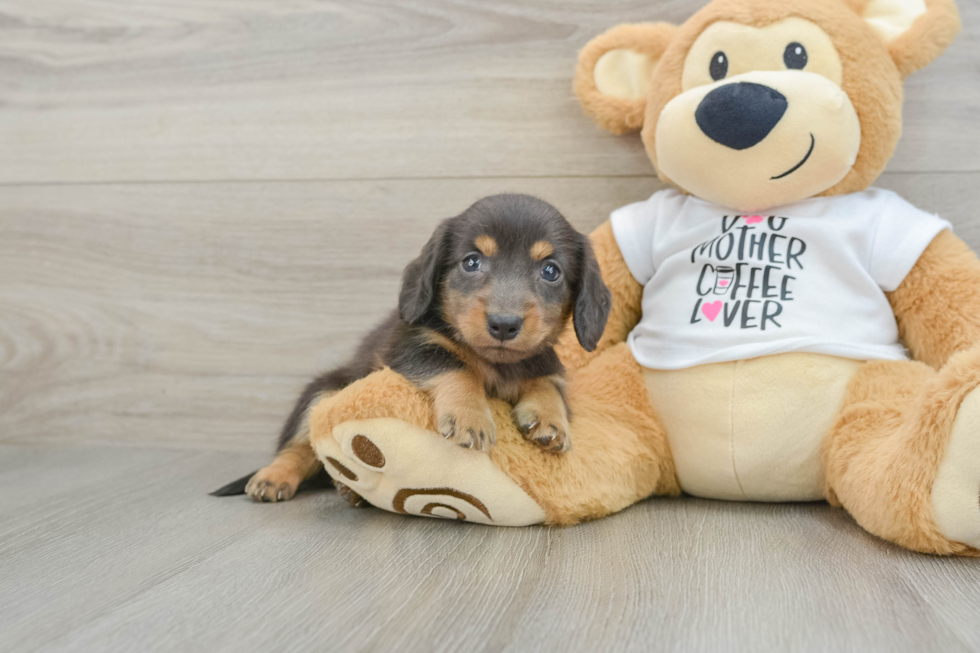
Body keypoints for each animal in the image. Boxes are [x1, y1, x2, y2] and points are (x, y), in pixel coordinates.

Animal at [213, 194, 608, 504]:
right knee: (299, 447)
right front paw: (471, 417)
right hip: (321, 393)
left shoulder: (544, 362)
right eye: (471, 261)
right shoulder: (408, 349)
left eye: (551, 271)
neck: (495, 362)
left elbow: (547, 383)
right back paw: (275, 477)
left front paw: (550, 421)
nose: (504, 324)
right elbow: (458, 366)